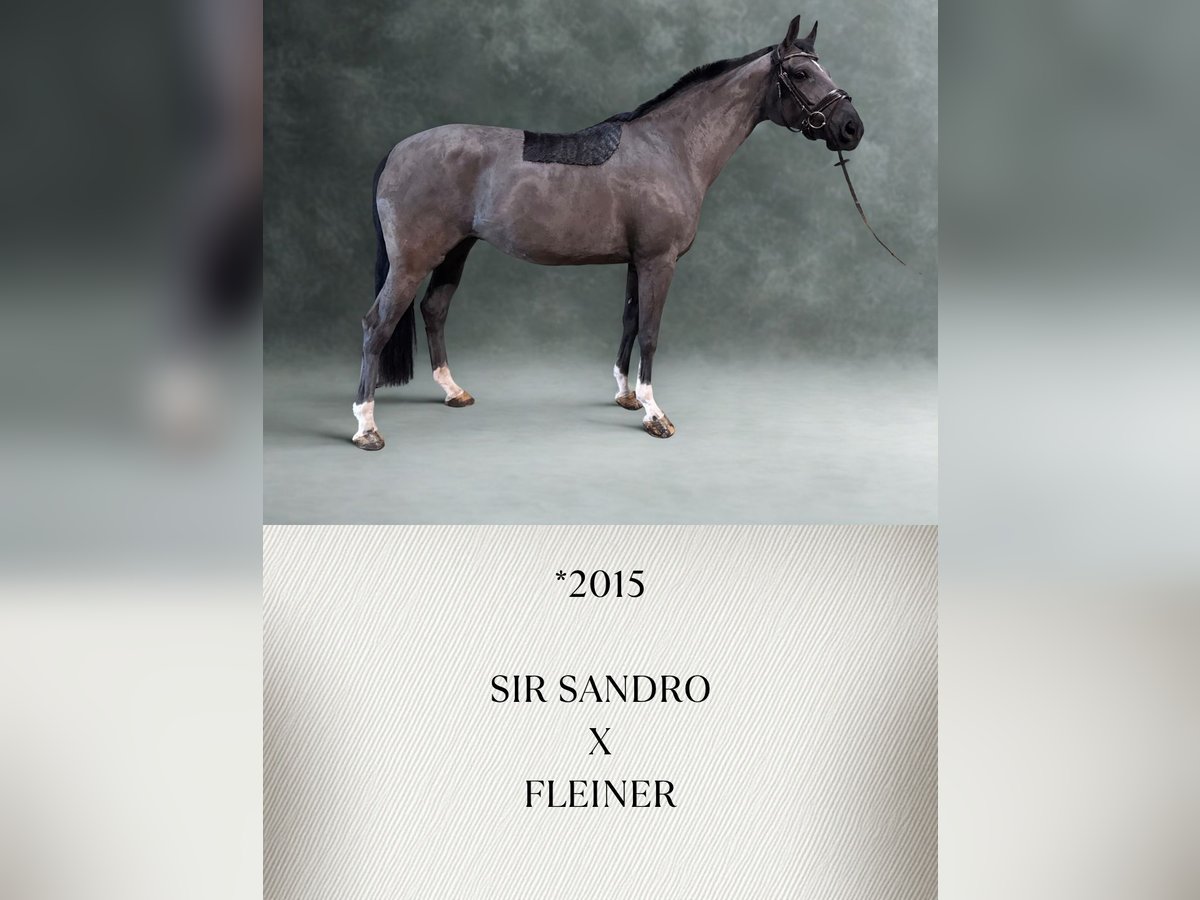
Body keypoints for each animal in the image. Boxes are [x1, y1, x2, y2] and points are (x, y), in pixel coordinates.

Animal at [352, 15, 864, 450]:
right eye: (801, 74)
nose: (851, 128)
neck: (671, 147)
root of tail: (397, 150)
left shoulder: (638, 262)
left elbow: (630, 322)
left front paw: (627, 395)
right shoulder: (659, 261)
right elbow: (652, 332)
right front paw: (655, 415)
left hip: (456, 251)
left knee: (434, 310)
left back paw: (453, 391)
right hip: (412, 261)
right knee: (377, 325)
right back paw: (366, 426)